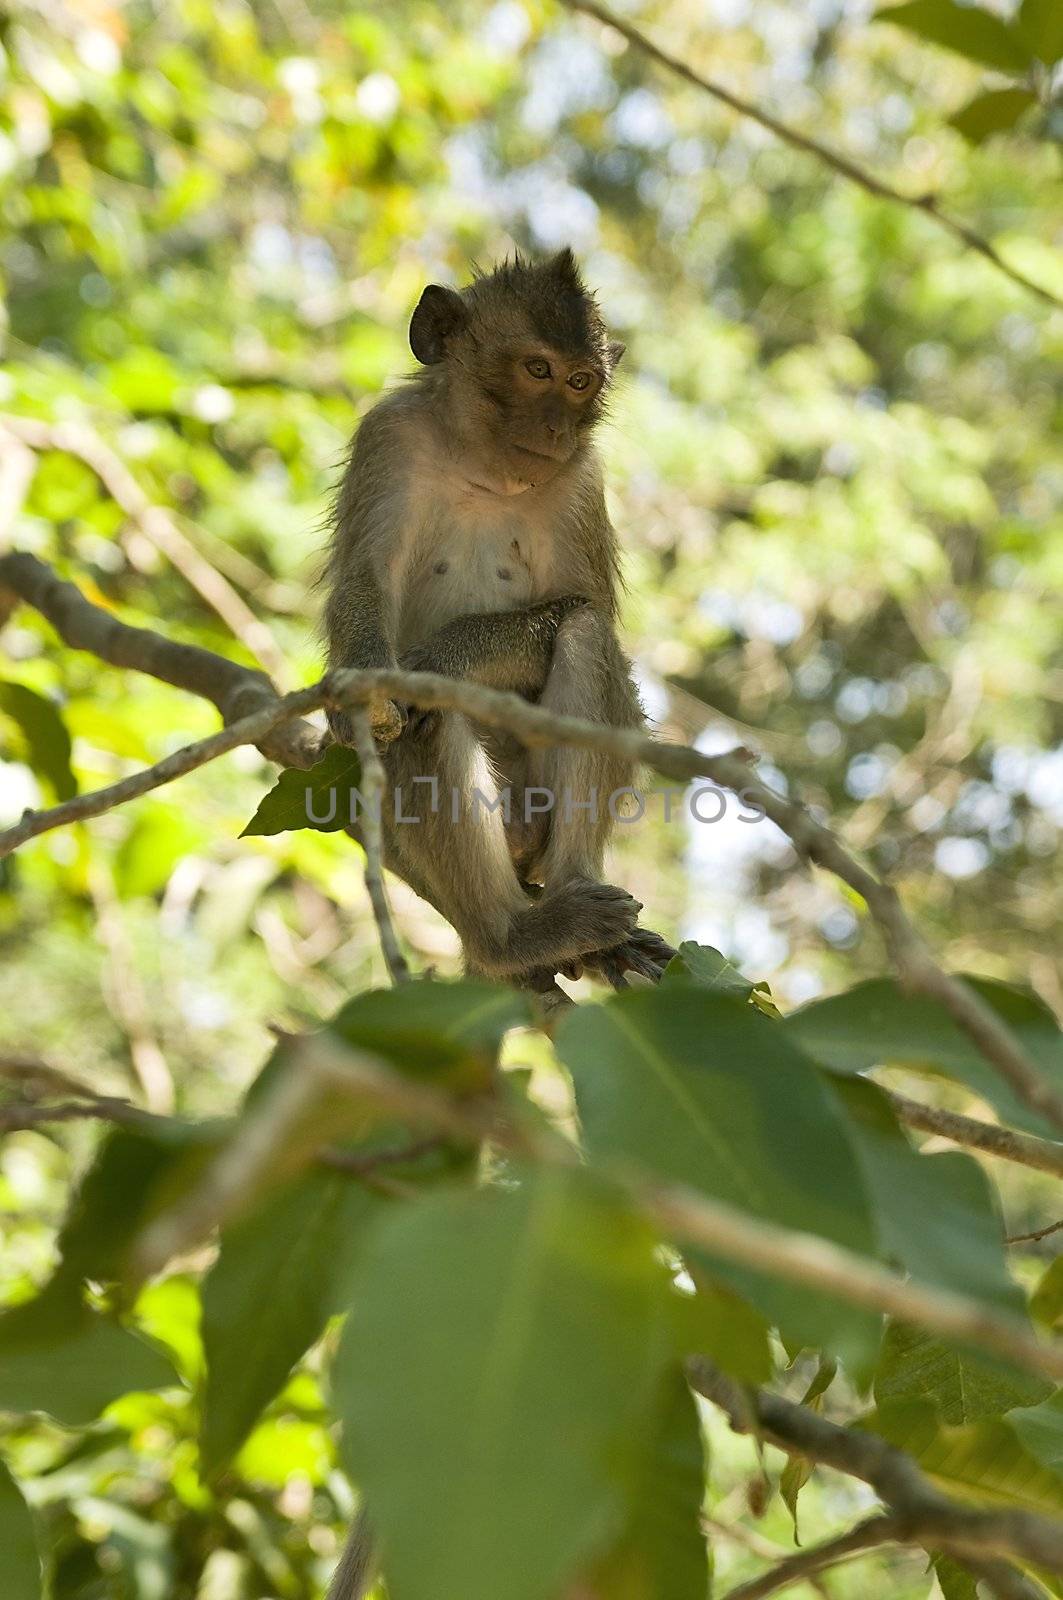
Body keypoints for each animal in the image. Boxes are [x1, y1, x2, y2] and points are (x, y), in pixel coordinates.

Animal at [323, 252, 672, 985]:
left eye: (579, 382)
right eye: (536, 370)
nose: (557, 427)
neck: (483, 469)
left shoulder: (579, 482)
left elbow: (586, 607)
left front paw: (439, 657)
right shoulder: (388, 437)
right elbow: (363, 579)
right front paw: (367, 685)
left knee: (583, 637)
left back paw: (575, 904)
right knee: (427, 728)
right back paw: (506, 936)